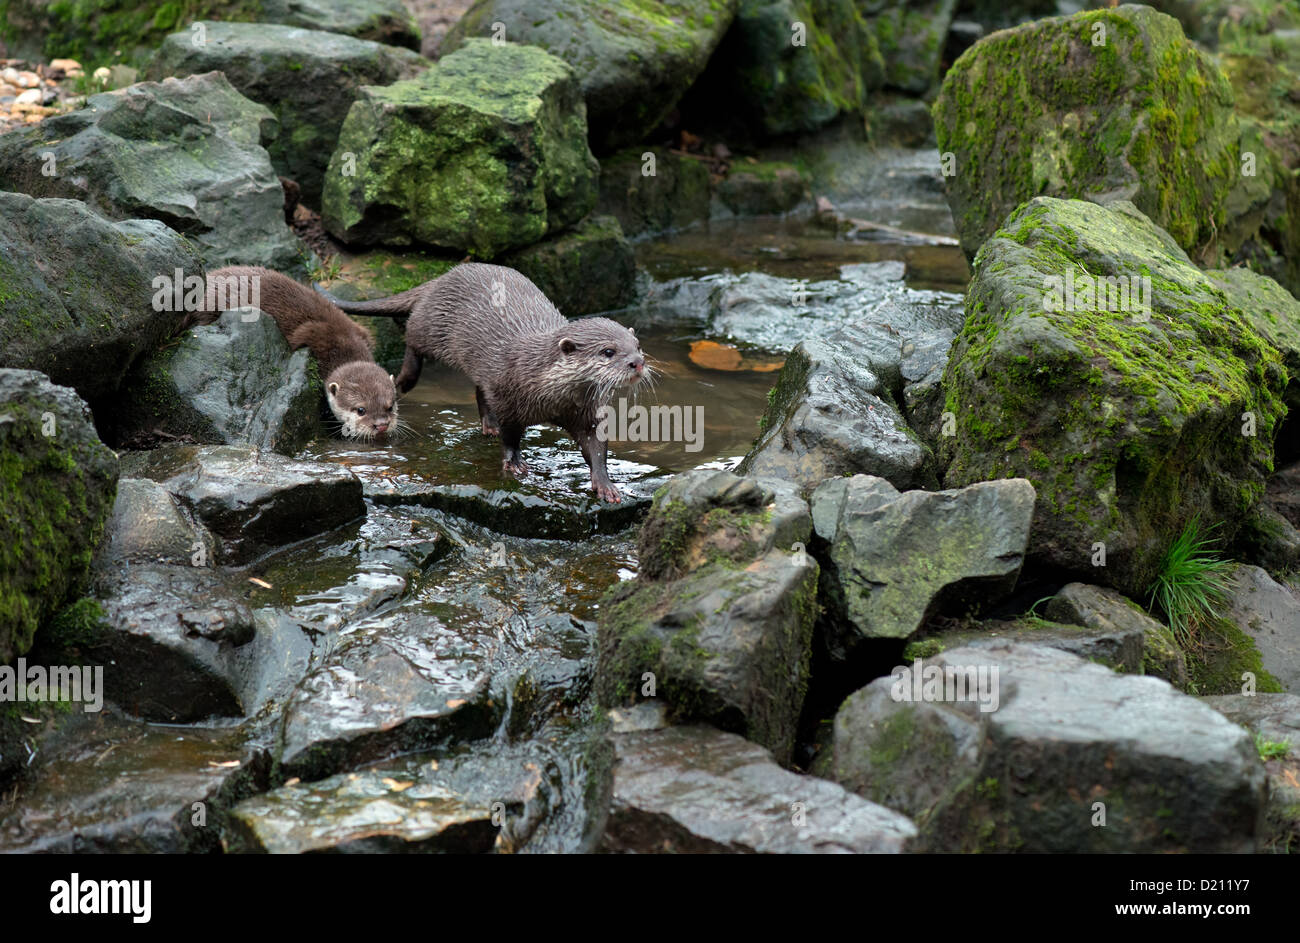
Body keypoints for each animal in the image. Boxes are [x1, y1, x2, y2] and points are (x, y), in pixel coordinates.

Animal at [330, 261, 644, 504]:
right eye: (608, 352)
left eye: (637, 345)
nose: (638, 362)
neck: (549, 395)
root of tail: (441, 278)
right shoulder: (507, 397)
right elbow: (511, 435)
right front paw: (514, 463)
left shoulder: (586, 411)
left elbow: (596, 446)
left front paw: (606, 485)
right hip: (433, 327)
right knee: (412, 334)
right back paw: (405, 379)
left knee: (479, 390)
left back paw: (487, 425)